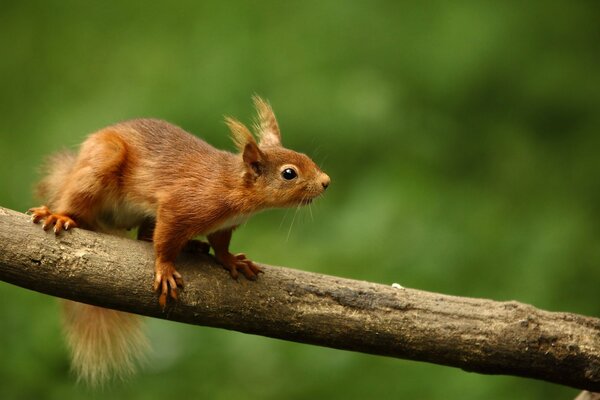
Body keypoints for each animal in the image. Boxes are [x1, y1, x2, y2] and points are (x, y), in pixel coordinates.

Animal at [28, 96, 330, 384]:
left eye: (304, 156)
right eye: (289, 173)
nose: (326, 182)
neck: (232, 186)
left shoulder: (224, 225)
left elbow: (220, 245)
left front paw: (232, 261)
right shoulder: (180, 206)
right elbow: (164, 242)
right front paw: (164, 269)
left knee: (144, 235)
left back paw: (193, 245)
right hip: (100, 165)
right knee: (78, 202)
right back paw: (58, 215)